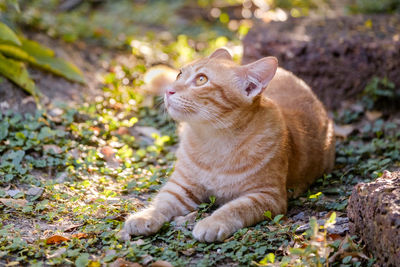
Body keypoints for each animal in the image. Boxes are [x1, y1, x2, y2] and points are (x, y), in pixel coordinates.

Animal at [118, 47, 334, 243]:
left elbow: (235, 208)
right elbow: (163, 200)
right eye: (180, 74)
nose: (168, 90)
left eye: (201, 79)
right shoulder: (182, 186)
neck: (215, 141)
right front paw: (146, 215)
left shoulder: (268, 195)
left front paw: (213, 222)